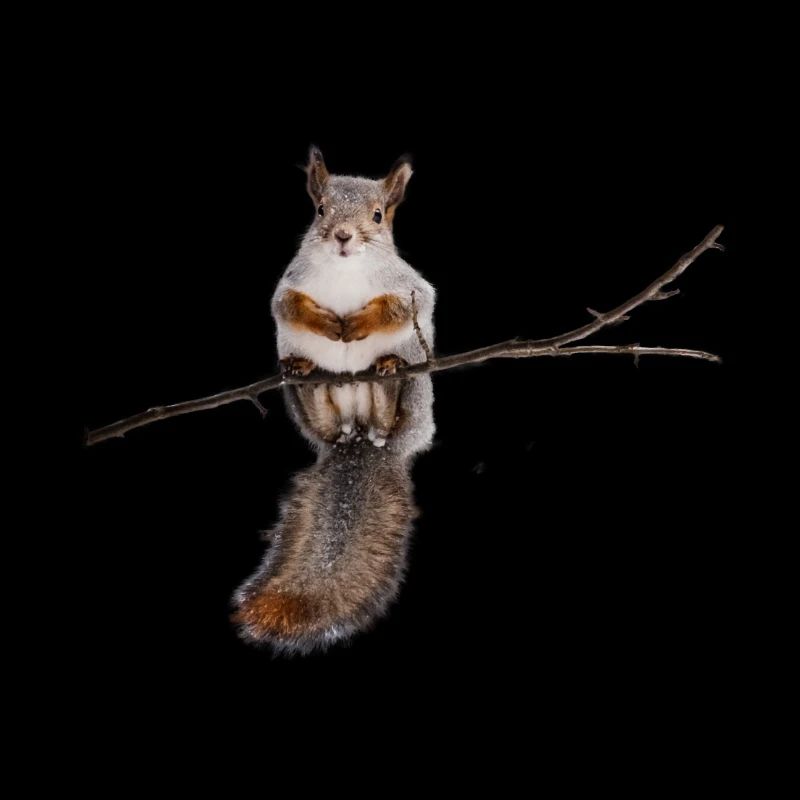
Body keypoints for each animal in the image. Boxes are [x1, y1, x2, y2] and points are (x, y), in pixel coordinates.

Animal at [233, 148, 436, 654]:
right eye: (320, 210)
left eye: (378, 216)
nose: (344, 236)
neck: (346, 270)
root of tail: (359, 436)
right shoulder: (288, 285)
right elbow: (287, 306)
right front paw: (326, 323)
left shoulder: (412, 287)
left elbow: (406, 305)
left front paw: (358, 323)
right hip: (306, 404)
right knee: (320, 411)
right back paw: (304, 374)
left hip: (415, 391)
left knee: (391, 407)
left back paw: (386, 374)